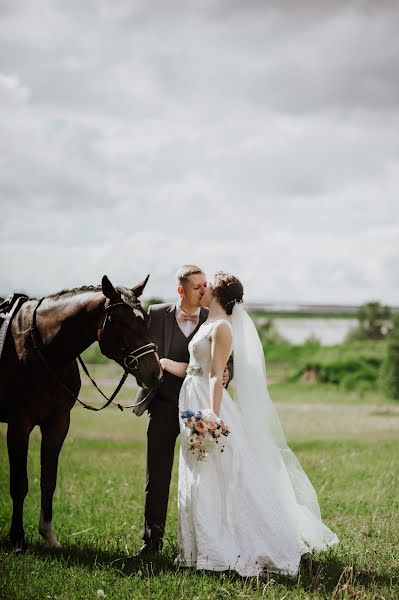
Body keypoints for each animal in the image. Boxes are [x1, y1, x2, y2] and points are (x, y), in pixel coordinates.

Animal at [0, 276, 162, 548]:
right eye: (121, 322)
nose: (155, 373)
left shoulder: (58, 424)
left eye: (148, 320)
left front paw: (48, 536)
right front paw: (17, 538)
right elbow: (19, 484)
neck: (43, 348)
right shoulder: (19, 425)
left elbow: (48, 480)